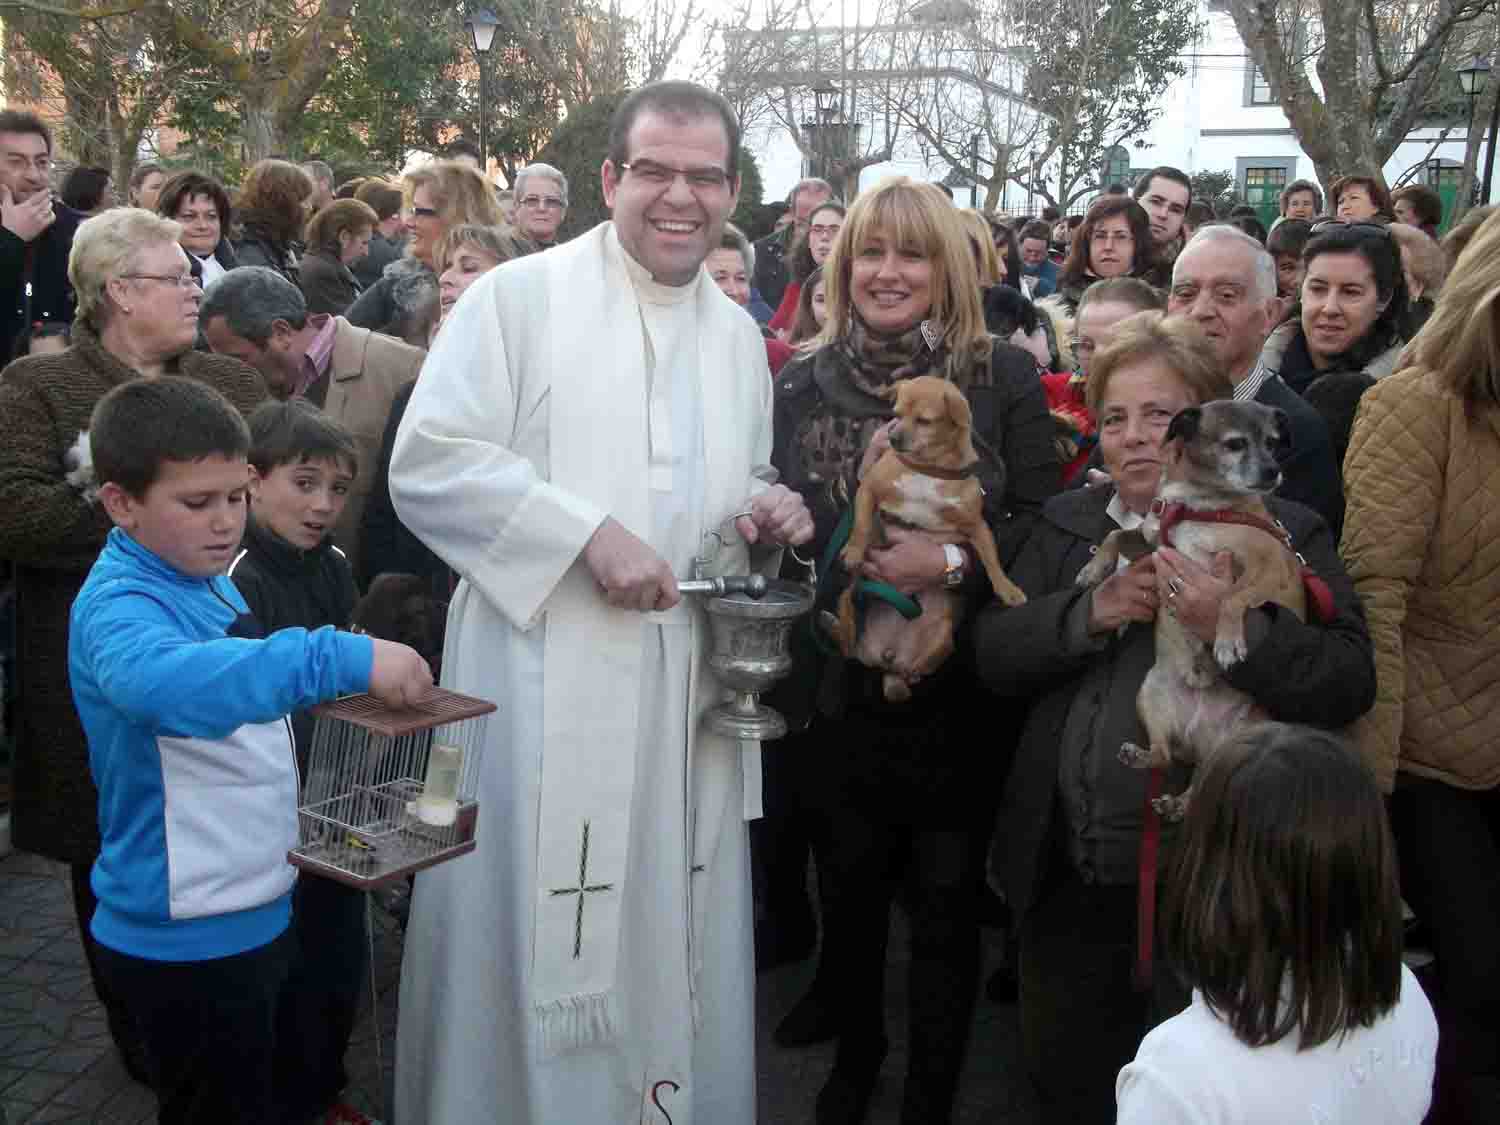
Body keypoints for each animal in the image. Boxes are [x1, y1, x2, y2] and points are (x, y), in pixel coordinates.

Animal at [840, 376, 1026, 705]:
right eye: (896, 414)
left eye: (924, 421)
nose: (893, 439)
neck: (927, 468)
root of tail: (888, 657)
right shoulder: (868, 490)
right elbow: (861, 525)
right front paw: (853, 550)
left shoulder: (977, 525)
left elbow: (991, 559)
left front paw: (1008, 590)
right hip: (846, 607)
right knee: (848, 637)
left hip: (943, 637)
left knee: (912, 672)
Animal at [1074, 402, 1308, 822]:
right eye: (1235, 444)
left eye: (1272, 443)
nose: (1273, 472)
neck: (1195, 505)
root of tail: (1199, 738)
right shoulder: (1154, 547)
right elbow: (1116, 535)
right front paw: (1094, 569)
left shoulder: (1266, 569)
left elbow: (1231, 597)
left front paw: (1228, 643)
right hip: (1150, 693)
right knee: (1166, 757)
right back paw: (1149, 769)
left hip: (1234, 746)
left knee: (1196, 780)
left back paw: (1177, 801)